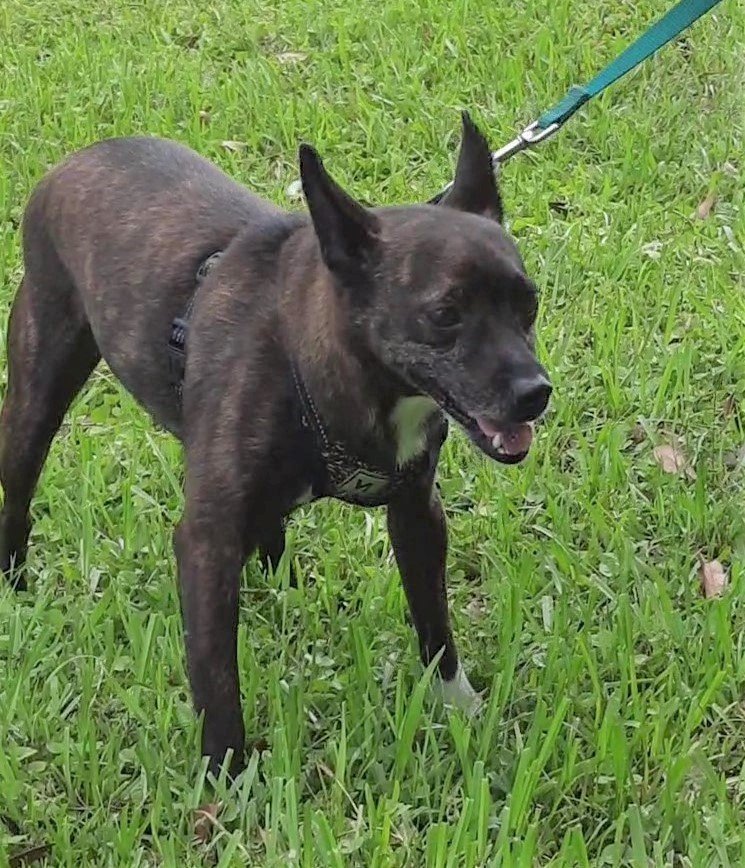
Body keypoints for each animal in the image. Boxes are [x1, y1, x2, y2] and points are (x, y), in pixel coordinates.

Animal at [0, 113, 548, 772]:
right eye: (445, 314)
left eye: (530, 303)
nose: (535, 393)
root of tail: (73, 163)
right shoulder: (205, 545)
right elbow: (216, 679)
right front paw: (226, 778)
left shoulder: (417, 513)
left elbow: (434, 621)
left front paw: (458, 707)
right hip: (37, 392)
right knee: (19, 491)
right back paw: (11, 579)